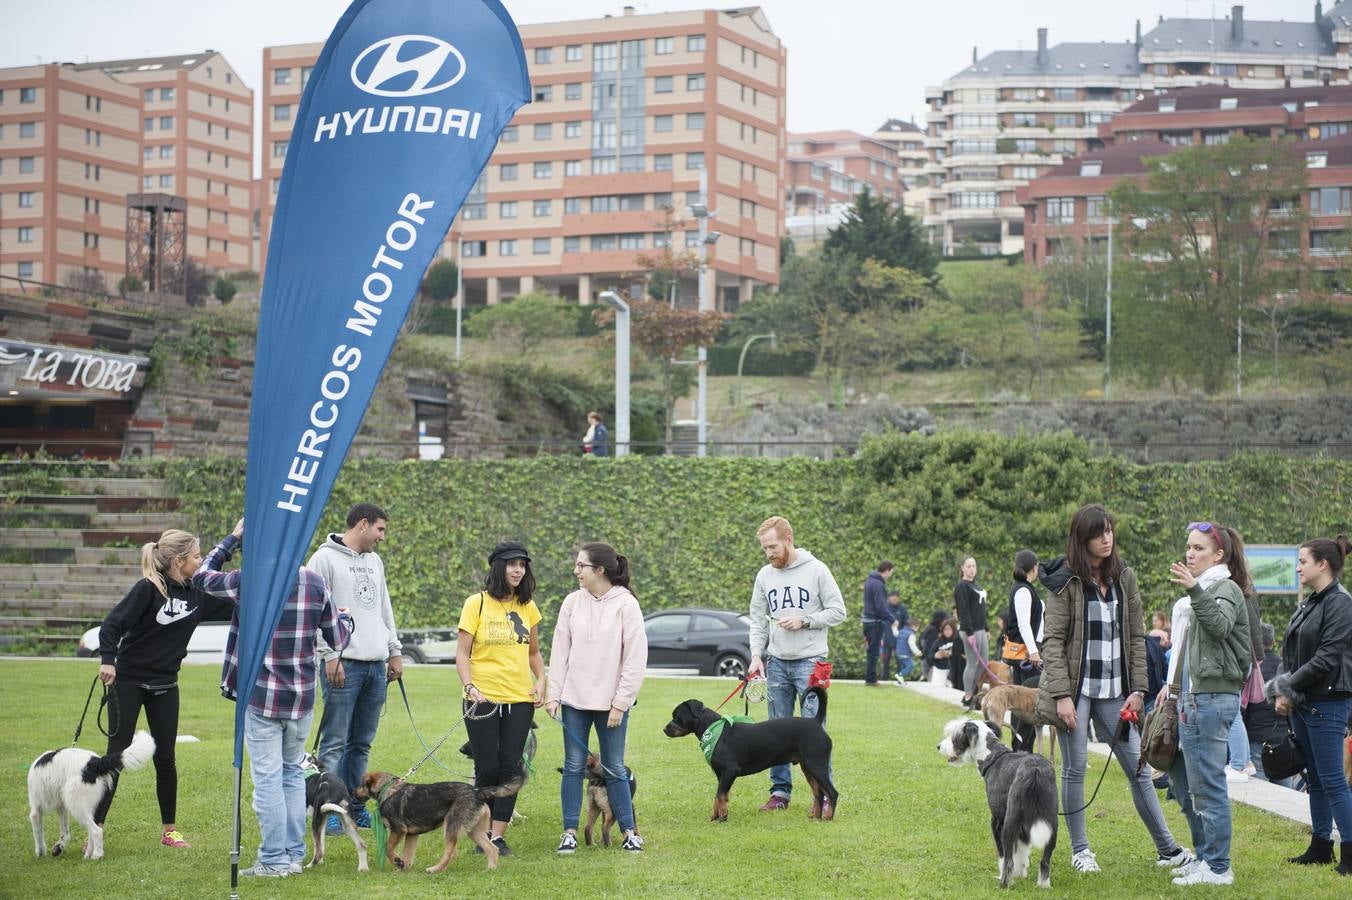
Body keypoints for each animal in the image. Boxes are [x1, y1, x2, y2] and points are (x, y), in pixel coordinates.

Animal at [354, 767, 521, 870]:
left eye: (361, 785)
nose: (353, 794)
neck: (387, 788)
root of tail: (478, 791)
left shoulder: (398, 830)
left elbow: (388, 848)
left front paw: (397, 861)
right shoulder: (411, 835)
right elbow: (407, 854)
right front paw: (402, 868)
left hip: (451, 826)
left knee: (451, 853)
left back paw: (435, 870)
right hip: (474, 830)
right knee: (491, 848)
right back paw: (490, 870)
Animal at [662, 681, 832, 821]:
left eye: (677, 717)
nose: (664, 729)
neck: (713, 729)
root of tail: (815, 722)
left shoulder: (730, 771)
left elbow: (720, 795)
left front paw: (723, 816)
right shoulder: (721, 775)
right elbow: (718, 796)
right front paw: (715, 816)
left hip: (817, 765)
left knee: (831, 792)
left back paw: (828, 817)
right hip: (808, 768)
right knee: (819, 793)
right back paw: (816, 817)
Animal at [940, 713, 1054, 881]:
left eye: (955, 736)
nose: (939, 746)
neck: (992, 755)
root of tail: (1035, 770)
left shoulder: (997, 820)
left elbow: (1004, 855)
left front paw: (1006, 875)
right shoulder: (1024, 826)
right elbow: (1022, 852)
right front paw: (1021, 874)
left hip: (1009, 821)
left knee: (1007, 858)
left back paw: (1003, 881)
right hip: (1051, 822)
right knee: (1045, 861)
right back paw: (1043, 884)